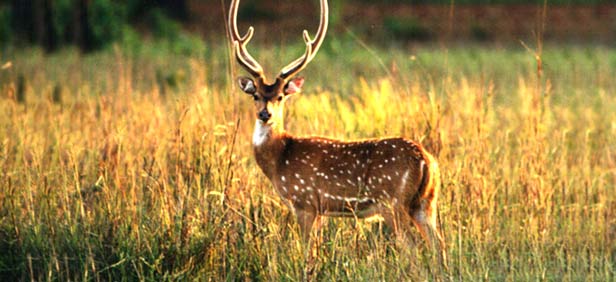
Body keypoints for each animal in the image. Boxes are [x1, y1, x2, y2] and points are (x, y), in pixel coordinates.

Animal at [229, 0, 446, 268]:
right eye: (256, 95)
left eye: (280, 96)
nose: (265, 114)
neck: (280, 159)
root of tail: (427, 160)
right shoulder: (320, 209)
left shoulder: (304, 201)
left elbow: (306, 253)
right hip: (427, 202)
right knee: (439, 245)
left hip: (392, 202)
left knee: (414, 248)